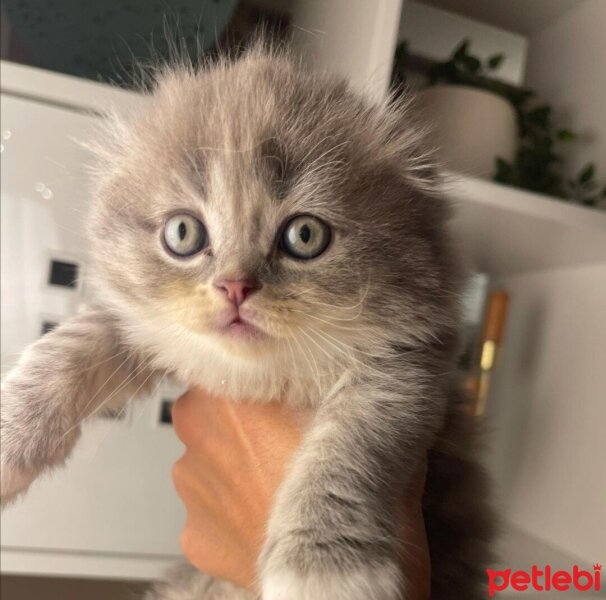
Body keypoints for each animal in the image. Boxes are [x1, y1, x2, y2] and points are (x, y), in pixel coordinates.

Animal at [0, 44, 494, 596]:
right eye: (183, 233)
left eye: (305, 236)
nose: (235, 287)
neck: (260, 377)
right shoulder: (140, 325)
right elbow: (68, 349)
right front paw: (10, 436)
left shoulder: (407, 371)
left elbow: (347, 453)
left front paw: (325, 567)